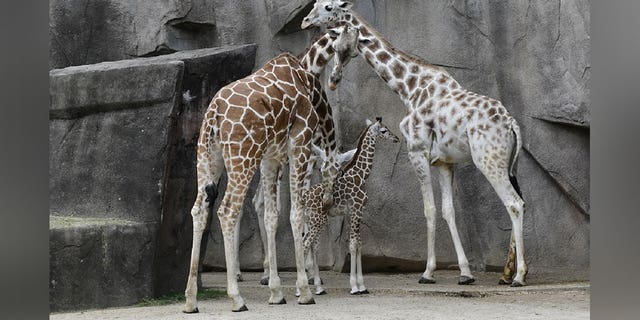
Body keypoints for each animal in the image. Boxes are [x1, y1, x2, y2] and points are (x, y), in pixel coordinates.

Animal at [302, 117, 398, 296]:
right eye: (384, 130)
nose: (396, 138)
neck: (361, 175)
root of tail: (304, 198)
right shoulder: (356, 209)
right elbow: (353, 245)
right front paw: (354, 287)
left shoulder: (354, 212)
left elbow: (358, 244)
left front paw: (362, 286)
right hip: (317, 220)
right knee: (305, 244)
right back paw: (302, 290)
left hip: (314, 220)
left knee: (311, 245)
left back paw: (318, 288)